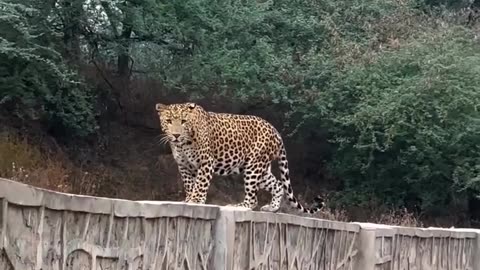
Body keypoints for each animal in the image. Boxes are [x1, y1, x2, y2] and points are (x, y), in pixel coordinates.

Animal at [156, 101, 324, 213]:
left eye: (183, 121)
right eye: (169, 121)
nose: (176, 135)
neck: (183, 144)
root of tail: (276, 132)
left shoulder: (206, 162)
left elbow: (200, 183)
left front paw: (196, 200)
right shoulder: (183, 165)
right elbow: (189, 184)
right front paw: (188, 199)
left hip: (254, 166)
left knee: (252, 198)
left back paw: (237, 206)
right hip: (259, 169)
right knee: (278, 184)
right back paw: (272, 207)